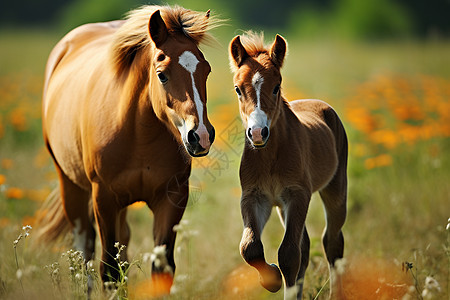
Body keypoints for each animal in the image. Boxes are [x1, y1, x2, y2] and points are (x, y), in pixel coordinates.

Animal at [37, 5, 216, 290]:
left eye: (206, 70)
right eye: (161, 74)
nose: (200, 136)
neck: (138, 135)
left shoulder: (172, 197)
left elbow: (161, 269)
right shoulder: (104, 198)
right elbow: (108, 270)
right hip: (71, 186)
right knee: (85, 251)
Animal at [229, 31, 348, 298]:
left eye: (276, 87)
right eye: (238, 89)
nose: (258, 133)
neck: (270, 158)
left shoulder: (298, 194)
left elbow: (289, 254)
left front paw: (276, 278)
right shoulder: (255, 197)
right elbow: (250, 247)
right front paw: (271, 278)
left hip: (335, 188)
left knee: (332, 241)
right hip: (282, 207)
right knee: (306, 245)